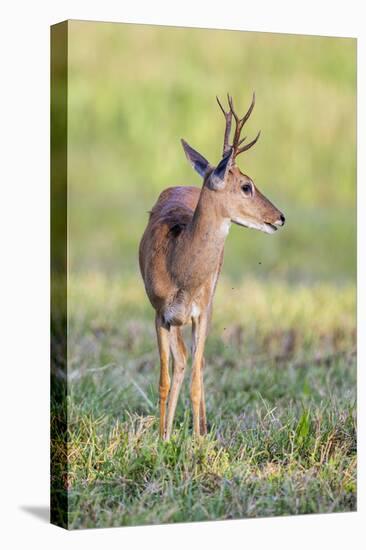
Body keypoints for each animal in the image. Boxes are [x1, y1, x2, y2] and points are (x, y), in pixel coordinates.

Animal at [139, 92, 284, 442]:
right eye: (246, 185)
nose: (279, 217)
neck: (180, 268)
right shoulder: (160, 314)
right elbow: (164, 378)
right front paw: (161, 438)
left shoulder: (202, 312)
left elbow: (196, 377)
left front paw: (197, 440)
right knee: (181, 362)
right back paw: (169, 431)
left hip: (206, 306)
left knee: (197, 365)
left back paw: (201, 429)